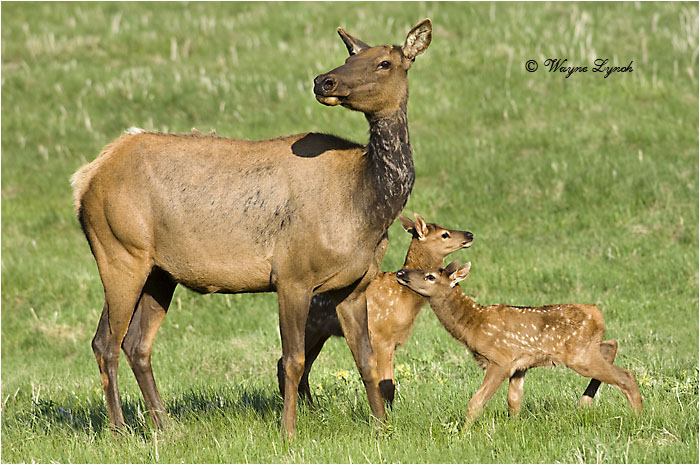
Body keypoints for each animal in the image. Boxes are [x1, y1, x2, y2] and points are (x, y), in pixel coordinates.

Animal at [70, 19, 432, 438]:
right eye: (349, 57)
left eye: (384, 62)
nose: (323, 81)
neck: (365, 208)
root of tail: (86, 178)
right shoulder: (293, 274)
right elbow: (292, 359)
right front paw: (288, 431)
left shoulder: (354, 284)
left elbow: (366, 359)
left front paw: (382, 426)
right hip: (119, 250)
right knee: (106, 342)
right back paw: (120, 431)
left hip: (159, 271)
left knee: (136, 344)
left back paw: (165, 426)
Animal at [277, 213, 474, 406]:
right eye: (445, 234)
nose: (469, 234)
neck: (404, 297)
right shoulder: (381, 336)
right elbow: (386, 384)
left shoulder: (393, 340)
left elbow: (390, 383)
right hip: (310, 327)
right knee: (284, 362)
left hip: (321, 334)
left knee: (304, 369)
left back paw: (311, 408)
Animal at [395, 261, 642, 425]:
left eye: (430, 276)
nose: (401, 272)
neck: (473, 325)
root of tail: (598, 314)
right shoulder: (520, 365)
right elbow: (514, 401)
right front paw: (513, 427)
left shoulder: (500, 360)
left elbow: (476, 402)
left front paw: (464, 434)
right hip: (586, 348)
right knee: (611, 345)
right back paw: (585, 403)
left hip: (579, 354)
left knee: (626, 375)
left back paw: (637, 416)